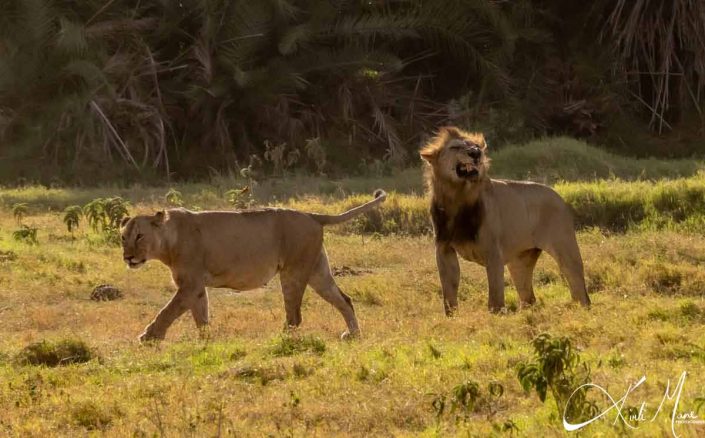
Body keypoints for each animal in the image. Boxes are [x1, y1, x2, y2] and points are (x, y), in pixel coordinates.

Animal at [119, 190, 384, 340]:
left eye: (139, 236)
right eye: (123, 237)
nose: (128, 258)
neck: (168, 241)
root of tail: (312, 215)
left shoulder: (190, 284)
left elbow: (168, 311)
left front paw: (149, 337)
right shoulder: (195, 287)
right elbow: (200, 316)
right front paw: (206, 343)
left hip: (293, 272)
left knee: (295, 316)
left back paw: (280, 340)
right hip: (318, 272)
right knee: (345, 300)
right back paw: (353, 335)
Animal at [418, 126, 588, 314]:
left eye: (476, 145)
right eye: (455, 147)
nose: (476, 153)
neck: (458, 197)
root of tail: (559, 196)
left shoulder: (493, 251)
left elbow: (495, 294)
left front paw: (495, 317)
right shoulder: (444, 249)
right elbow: (449, 291)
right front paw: (451, 316)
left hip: (565, 250)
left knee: (578, 287)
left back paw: (582, 311)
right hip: (519, 262)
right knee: (528, 298)